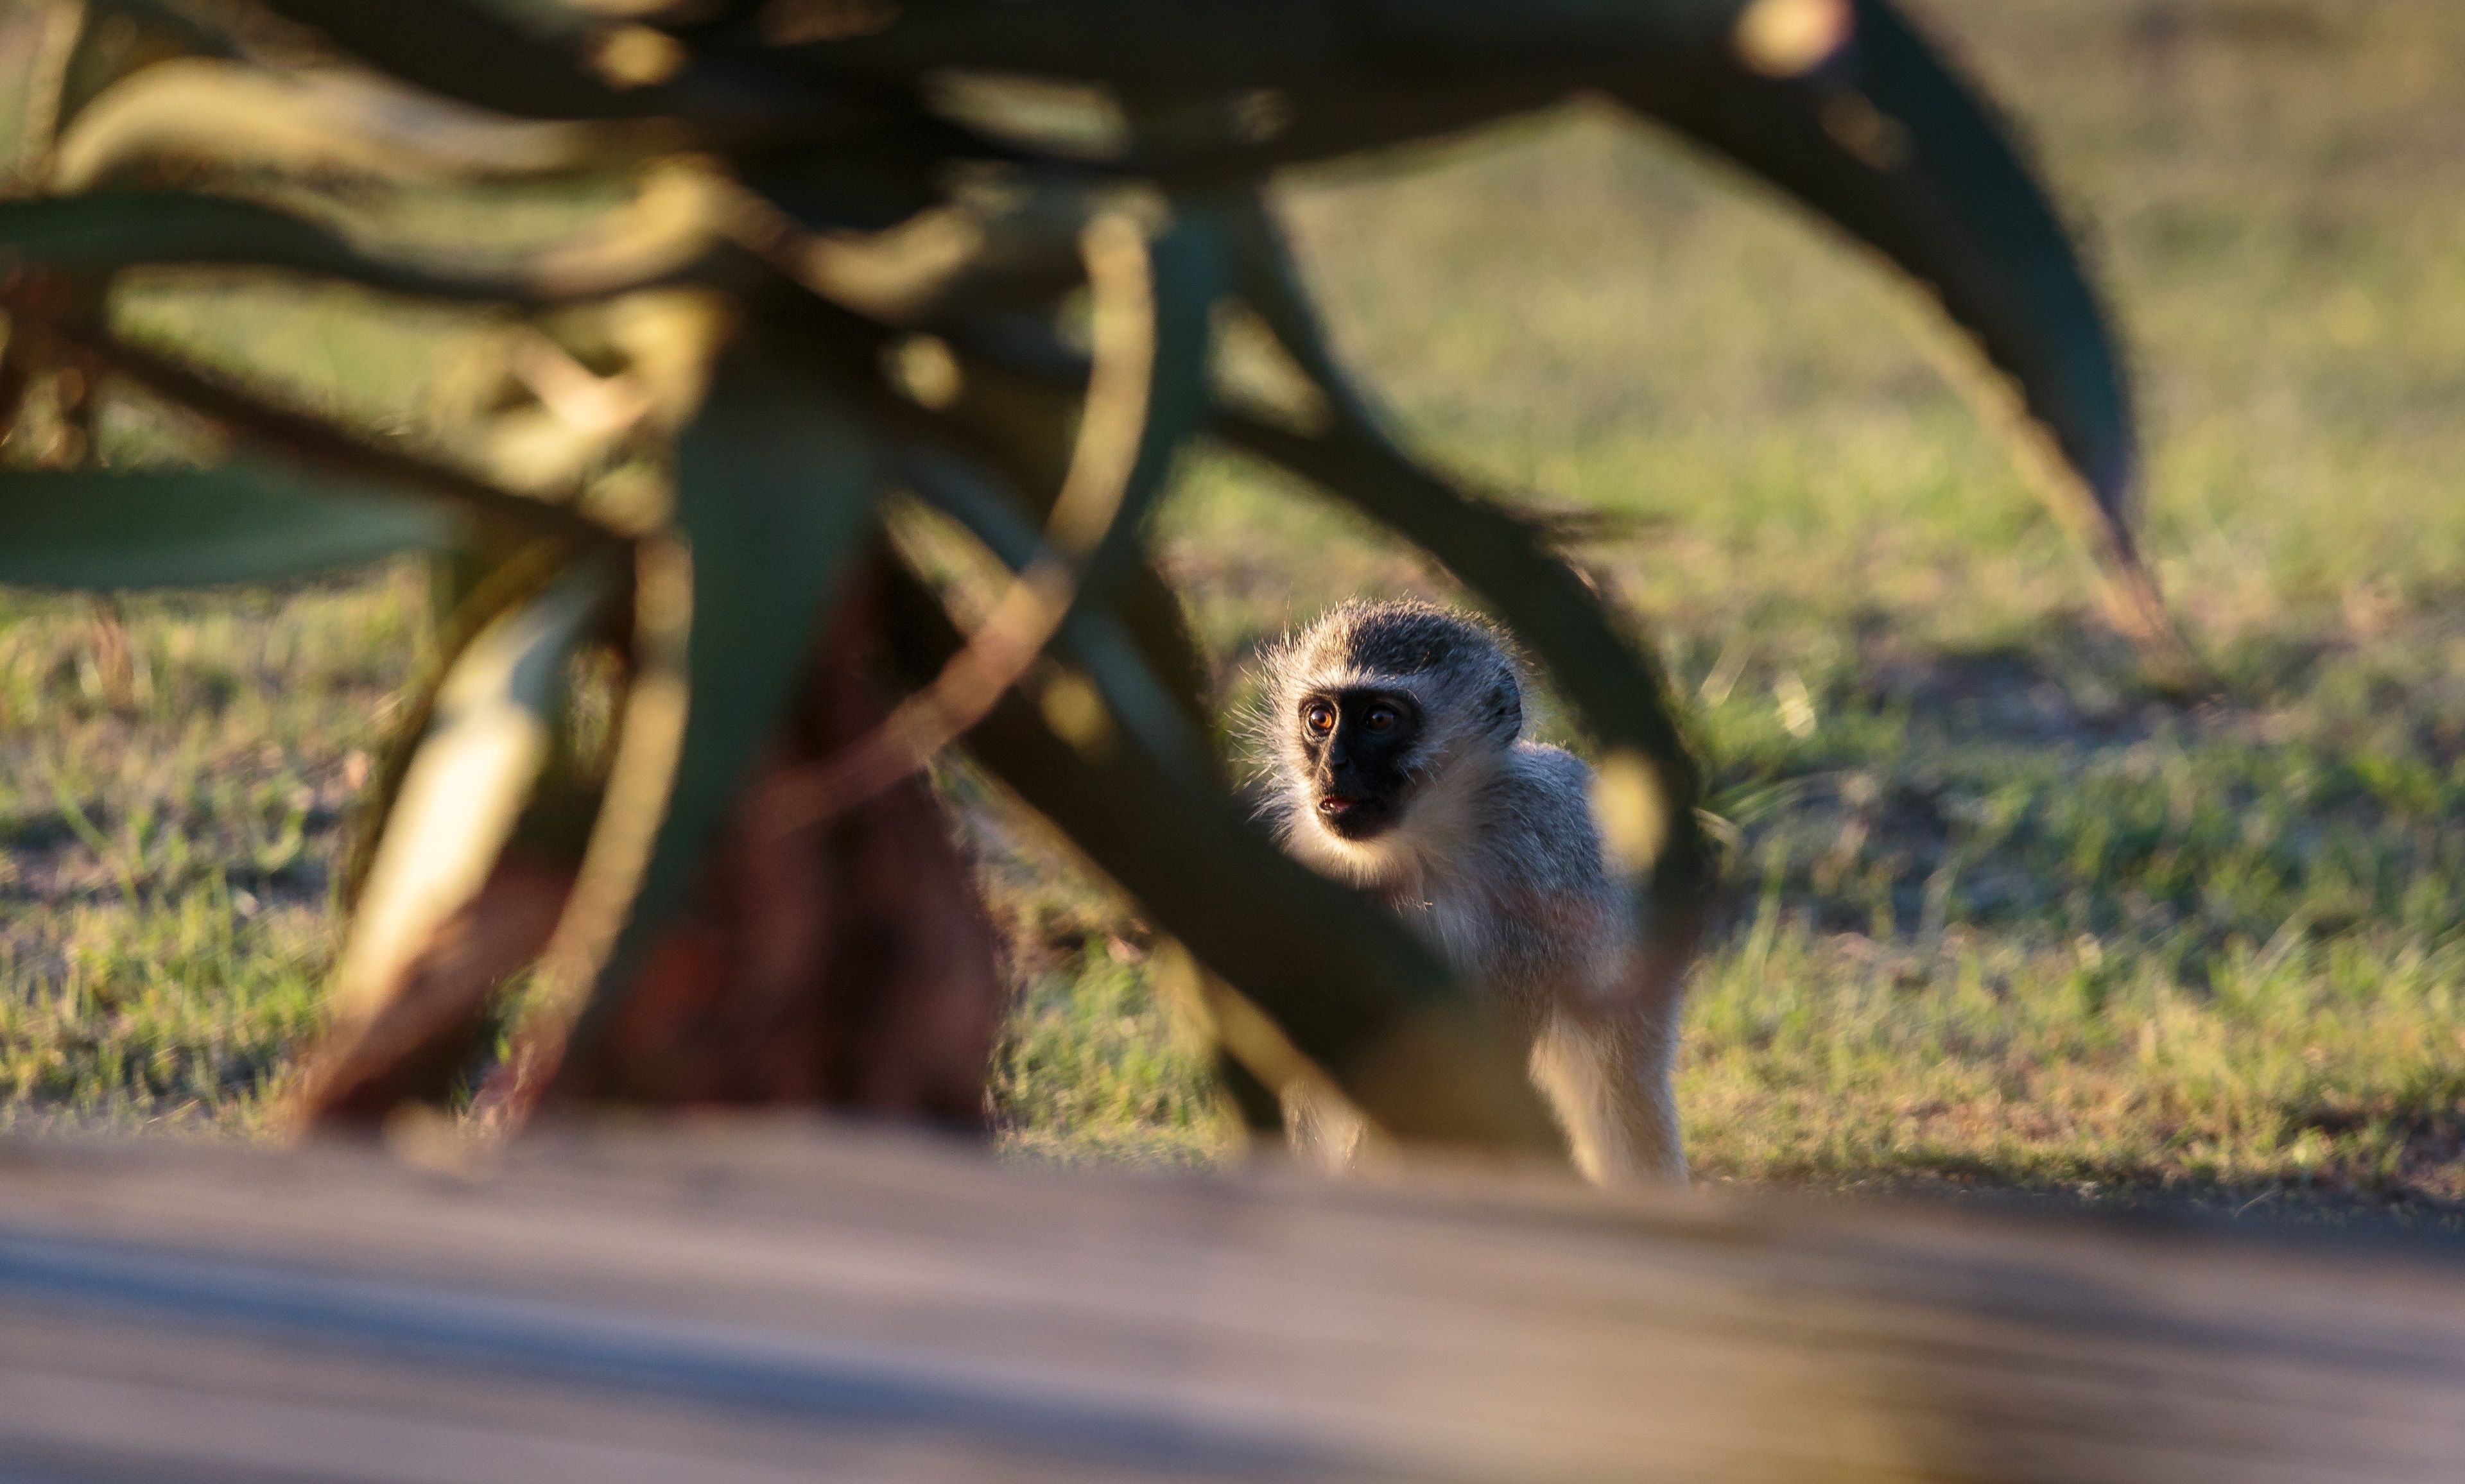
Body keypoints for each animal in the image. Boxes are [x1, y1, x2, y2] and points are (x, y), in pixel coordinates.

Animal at [1253, 598, 1686, 1185]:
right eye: (1321, 719)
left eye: (1380, 720)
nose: (1333, 765)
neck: (1418, 851)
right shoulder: (1310, 866)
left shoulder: (1527, 872)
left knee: (1620, 1094)